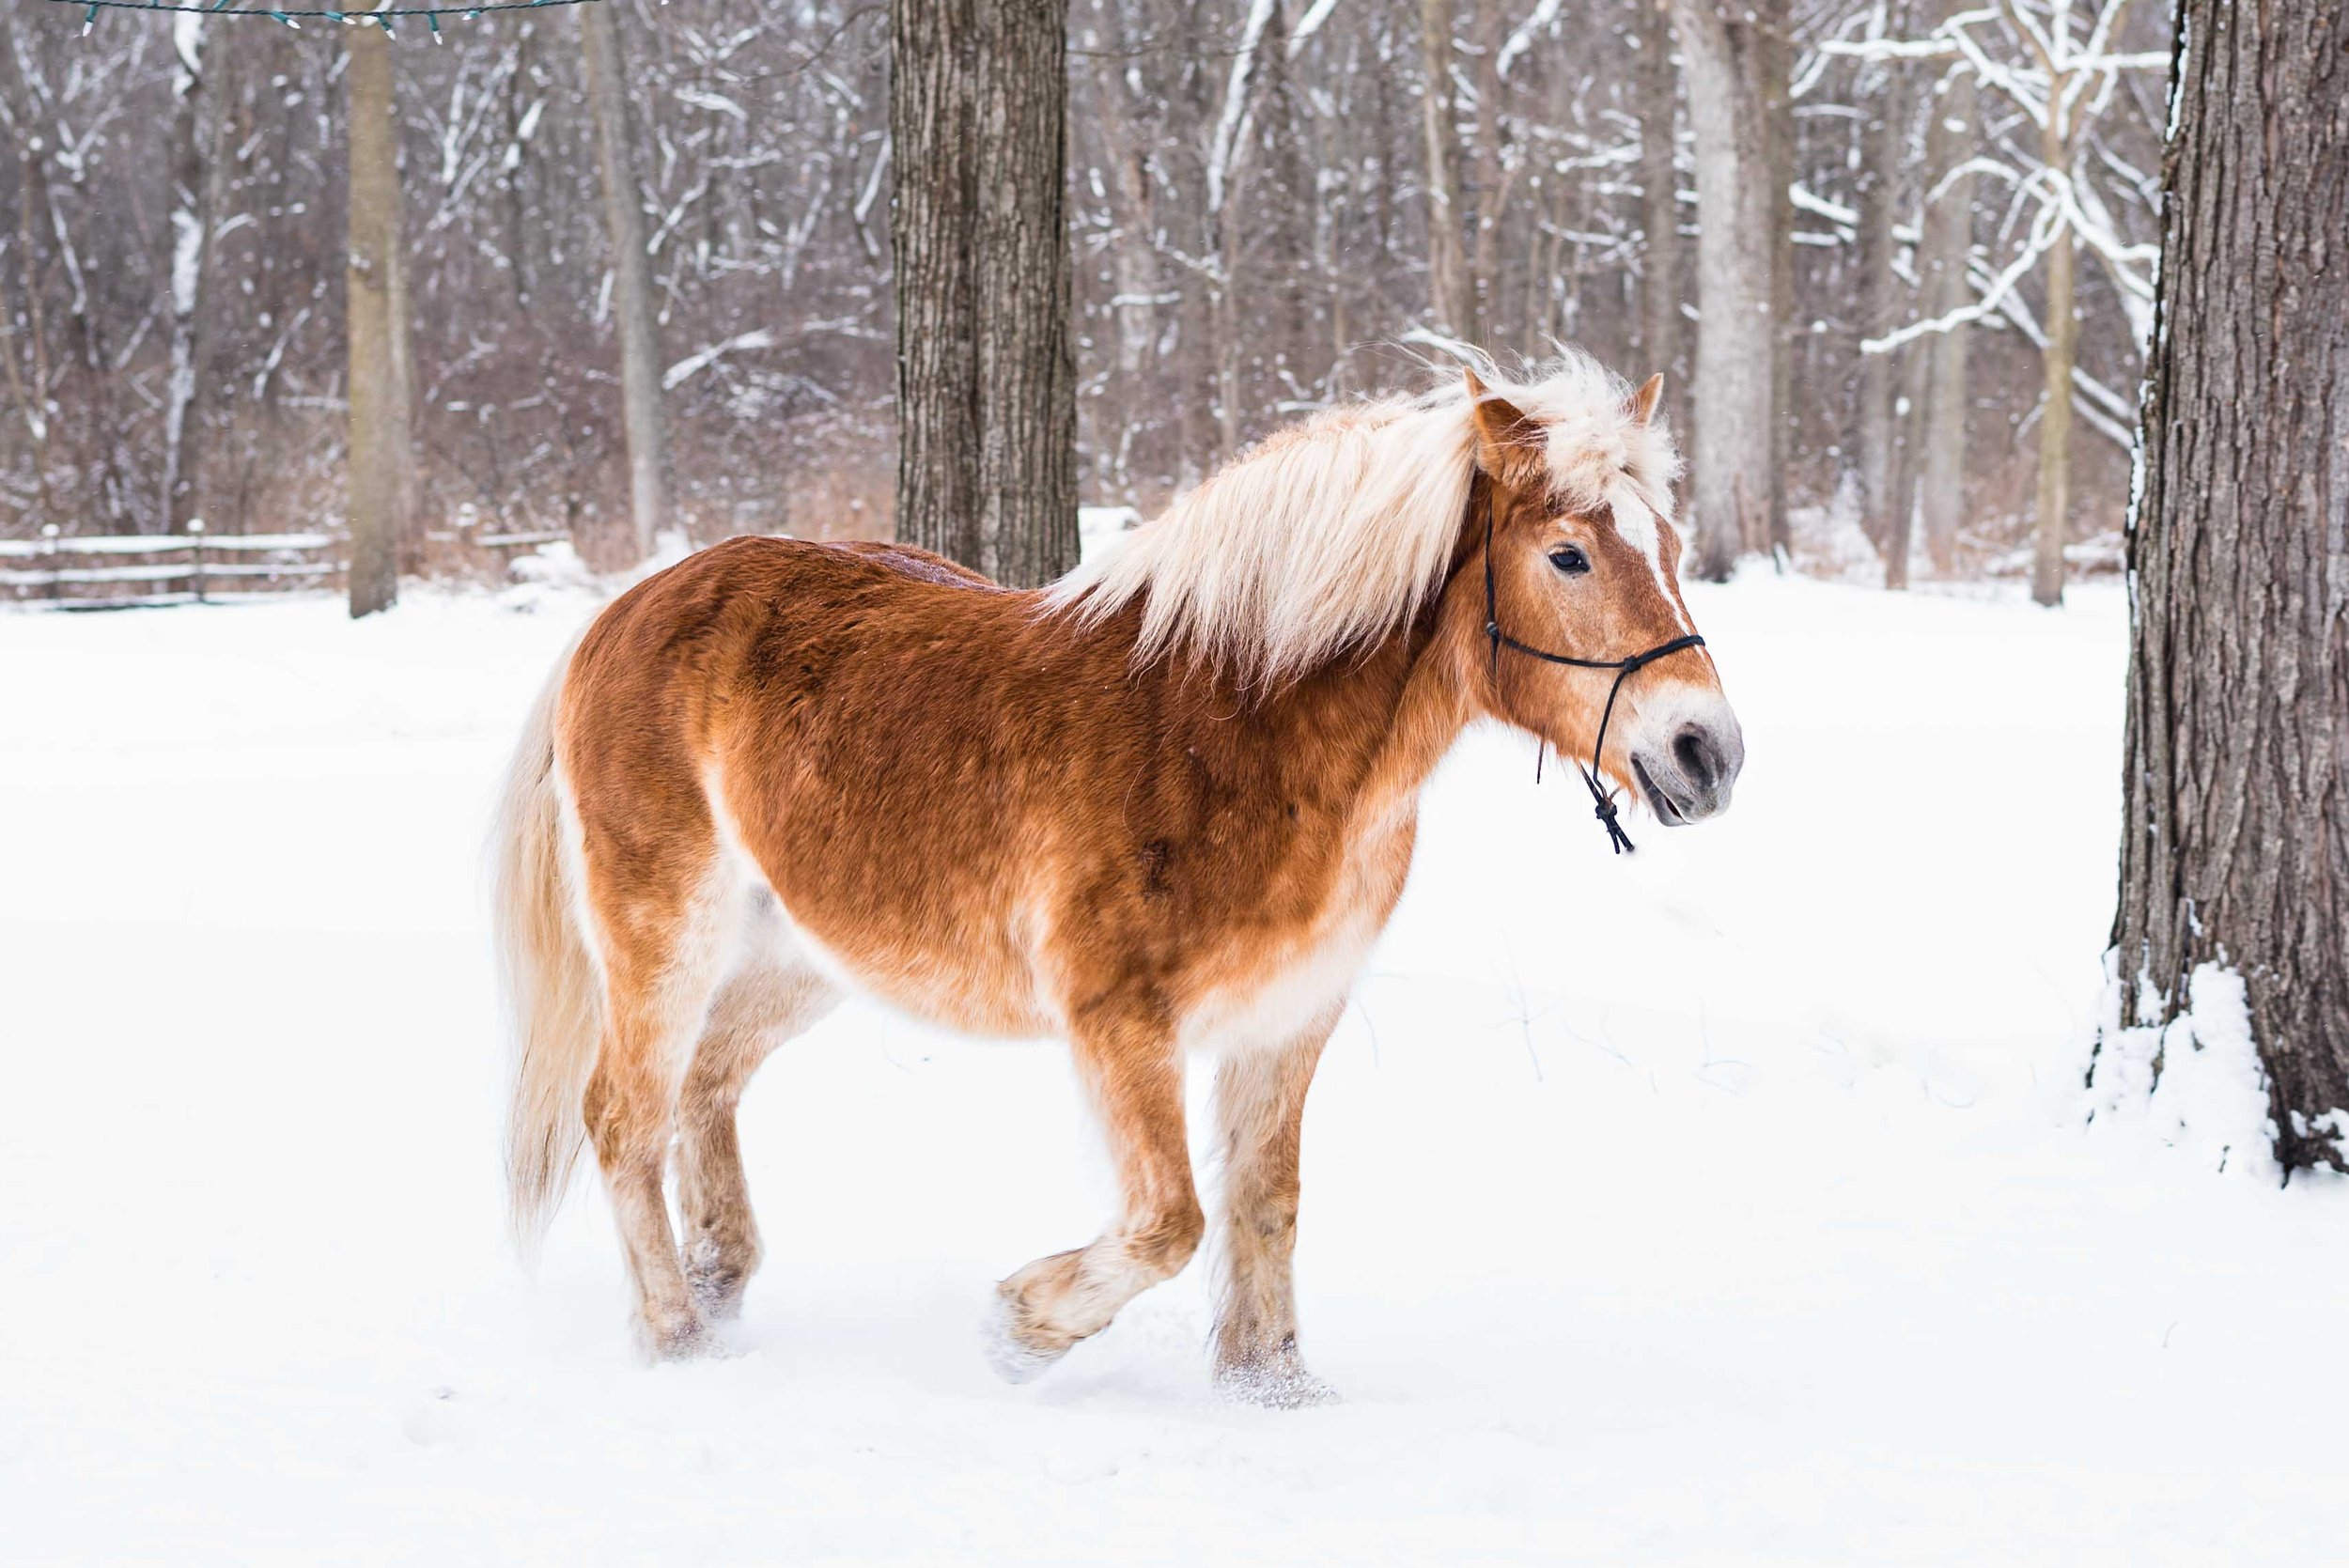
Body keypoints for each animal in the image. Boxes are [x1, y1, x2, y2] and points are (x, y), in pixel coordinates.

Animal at [495, 354, 1748, 1408]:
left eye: (1672, 545)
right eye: (1568, 555)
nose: (1708, 752)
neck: (1237, 733)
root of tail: (625, 611)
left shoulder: (1288, 1020)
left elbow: (1264, 1204)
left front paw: (1271, 1390)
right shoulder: (1118, 1022)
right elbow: (1168, 1223)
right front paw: (1019, 1330)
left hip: (805, 954)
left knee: (703, 1088)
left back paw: (719, 1285)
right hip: (666, 933)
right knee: (623, 1115)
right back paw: (675, 1338)